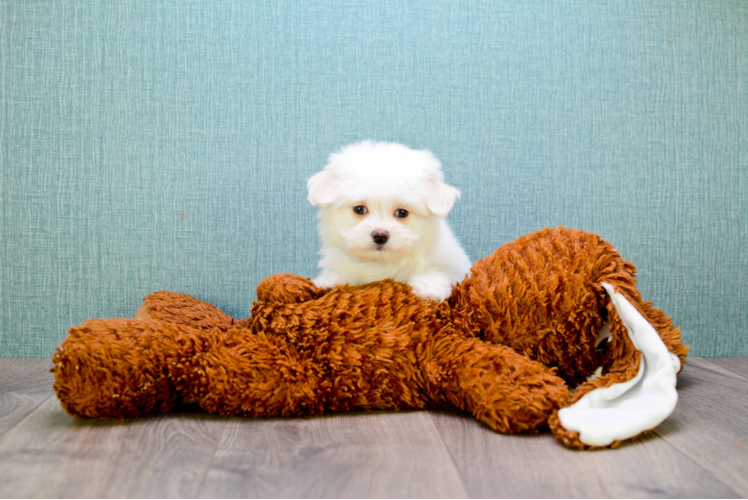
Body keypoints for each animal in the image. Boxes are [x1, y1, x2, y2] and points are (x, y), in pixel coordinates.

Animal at [306, 142, 470, 304]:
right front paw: (327, 282)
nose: (380, 235)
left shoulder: (454, 267)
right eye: (359, 209)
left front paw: (430, 288)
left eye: (402, 212)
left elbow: (435, 272)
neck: (382, 262)